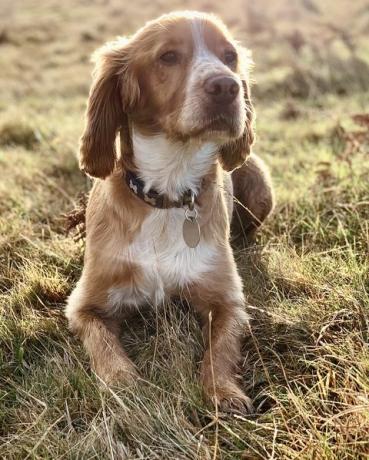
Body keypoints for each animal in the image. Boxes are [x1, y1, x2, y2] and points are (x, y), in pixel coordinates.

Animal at [65, 9, 274, 414]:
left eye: (229, 56)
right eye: (168, 57)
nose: (227, 87)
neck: (168, 189)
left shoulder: (228, 302)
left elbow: (219, 351)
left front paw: (224, 391)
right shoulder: (84, 304)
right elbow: (104, 348)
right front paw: (125, 384)